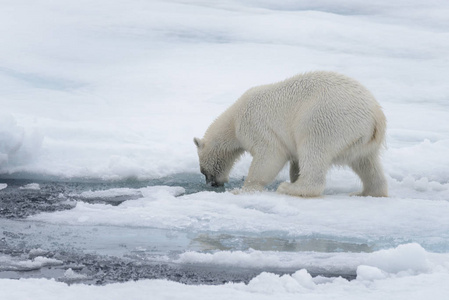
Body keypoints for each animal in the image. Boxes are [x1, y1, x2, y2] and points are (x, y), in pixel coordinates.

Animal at [194, 70, 386, 197]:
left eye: (204, 170)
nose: (212, 183)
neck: (233, 120)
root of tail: (375, 116)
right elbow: (295, 163)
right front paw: (293, 175)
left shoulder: (255, 126)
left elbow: (269, 155)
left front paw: (243, 189)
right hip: (363, 141)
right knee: (367, 164)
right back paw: (366, 192)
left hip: (326, 120)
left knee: (314, 150)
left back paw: (290, 188)